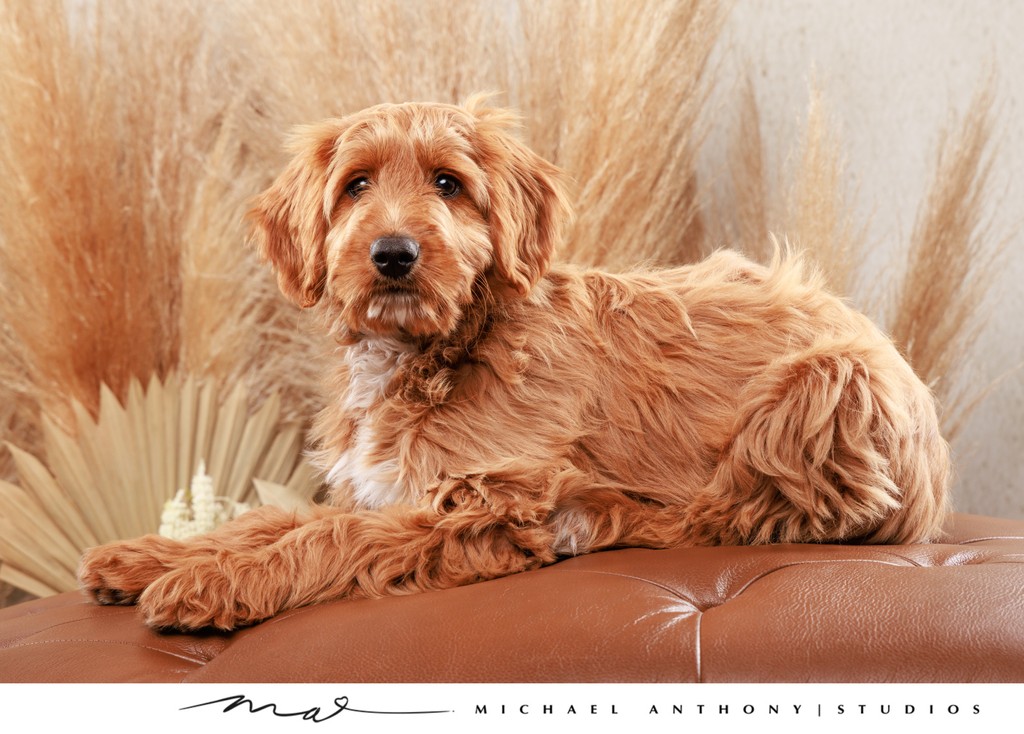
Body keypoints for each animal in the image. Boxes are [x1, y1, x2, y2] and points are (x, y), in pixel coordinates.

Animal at [77, 98, 950, 630]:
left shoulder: (483, 503)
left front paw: (209, 584)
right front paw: (150, 555)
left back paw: (607, 517)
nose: (394, 254)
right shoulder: (381, 486)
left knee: (754, 512)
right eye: (356, 185)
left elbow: (328, 539)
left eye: (448, 184)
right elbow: (275, 518)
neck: (439, 349)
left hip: (827, 387)